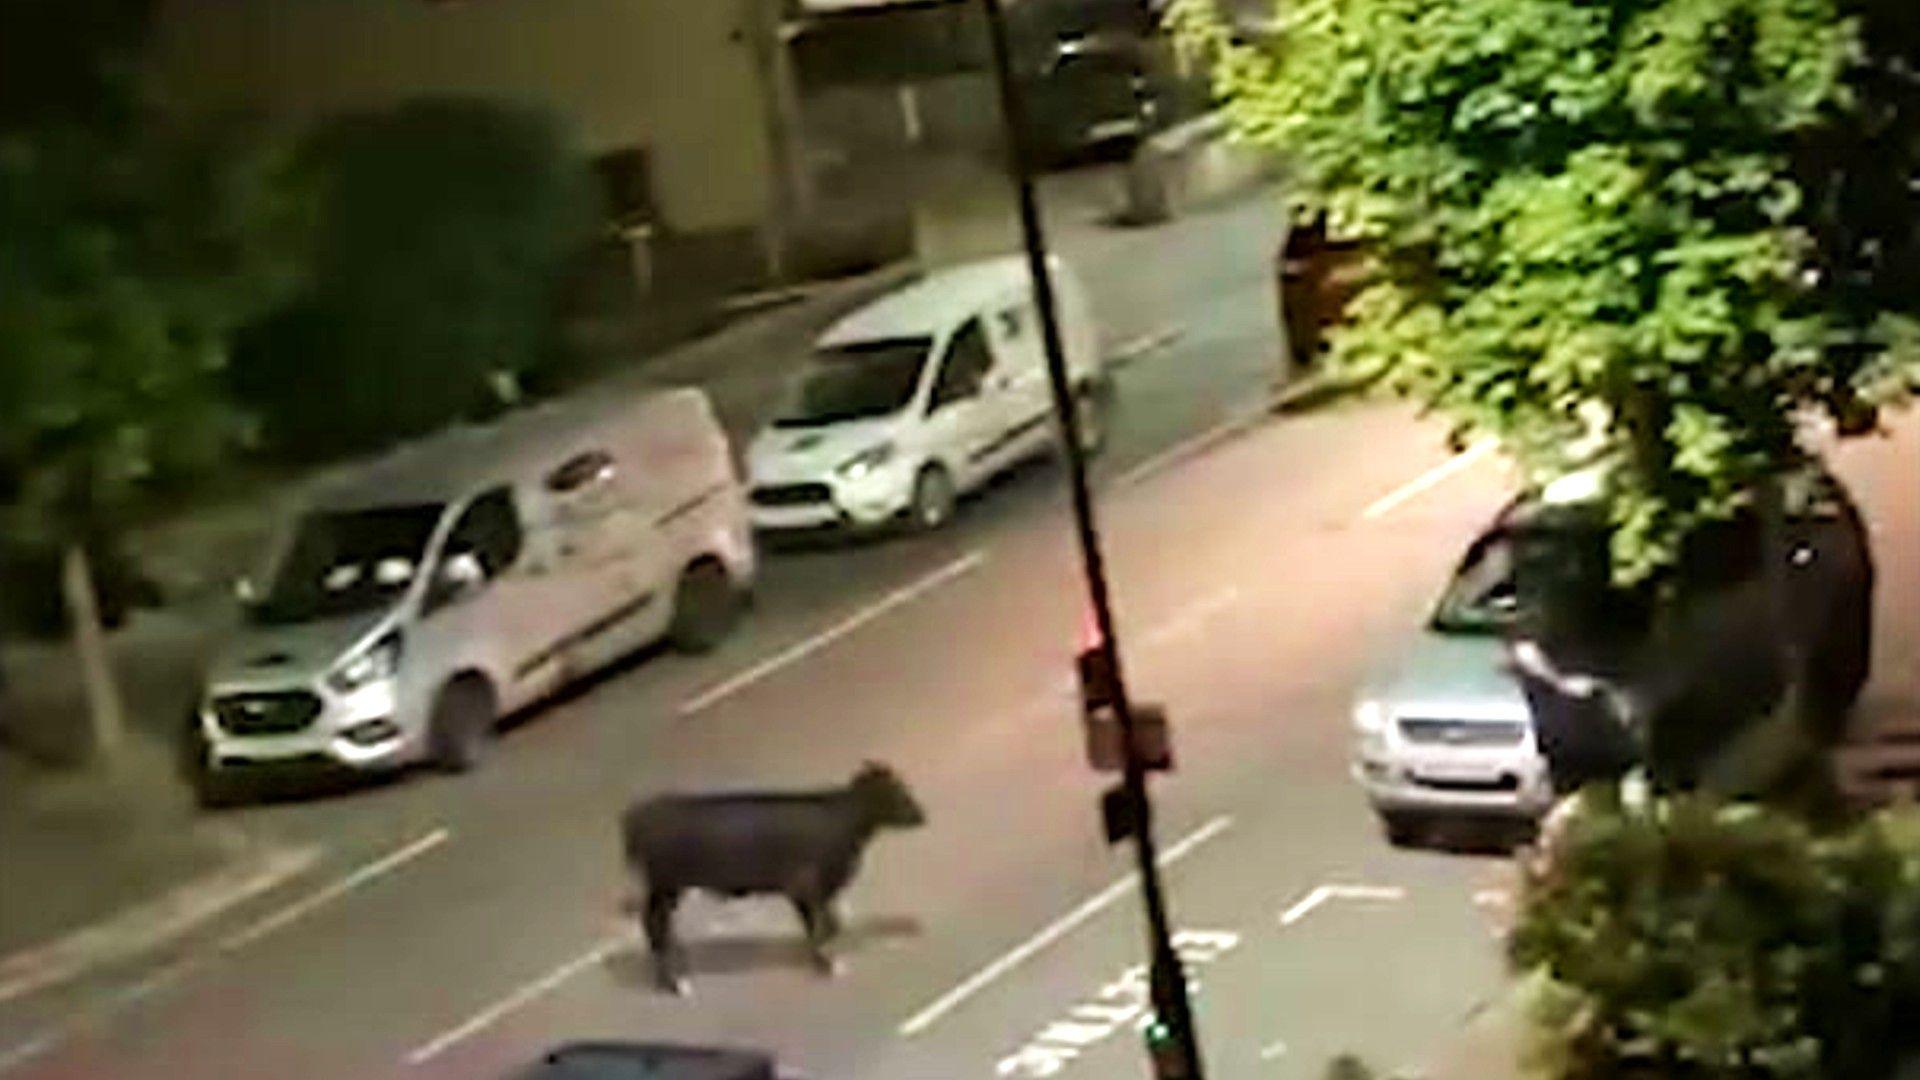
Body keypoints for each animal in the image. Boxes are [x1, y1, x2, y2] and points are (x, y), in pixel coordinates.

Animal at [618, 757, 925, 991]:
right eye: (896, 790)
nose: (922, 815)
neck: (844, 820)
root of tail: (636, 814)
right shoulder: (807, 885)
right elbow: (823, 925)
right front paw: (826, 963)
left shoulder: (808, 891)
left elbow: (821, 923)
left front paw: (820, 957)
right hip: (664, 885)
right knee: (654, 923)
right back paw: (673, 982)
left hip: (668, 888)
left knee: (658, 925)